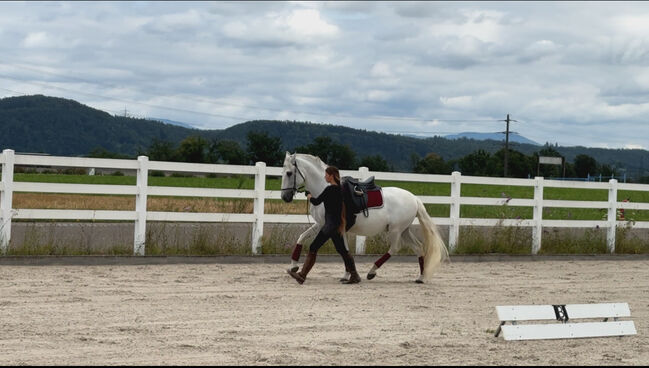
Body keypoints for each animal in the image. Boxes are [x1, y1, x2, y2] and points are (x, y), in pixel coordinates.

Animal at [280, 151, 448, 284]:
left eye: (289, 173)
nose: (285, 197)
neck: (325, 189)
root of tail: (414, 198)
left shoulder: (329, 226)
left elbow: (341, 250)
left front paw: (349, 275)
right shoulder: (323, 225)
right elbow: (304, 238)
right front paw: (294, 266)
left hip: (395, 231)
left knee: (395, 248)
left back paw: (372, 271)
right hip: (404, 230)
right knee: (418, 248)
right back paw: (421, 277)